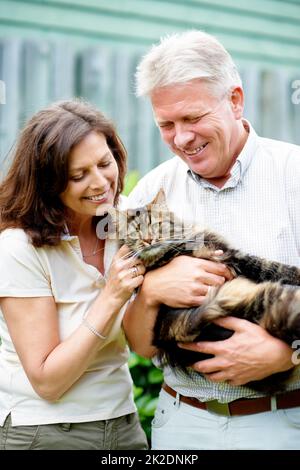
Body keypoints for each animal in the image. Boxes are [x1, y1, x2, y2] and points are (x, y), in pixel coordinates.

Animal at [106, 191, 300, 392]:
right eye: (136, 231)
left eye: (157, 225)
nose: (148, 239)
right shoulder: (228, 256)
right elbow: (271, 267)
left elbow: (269, 266)